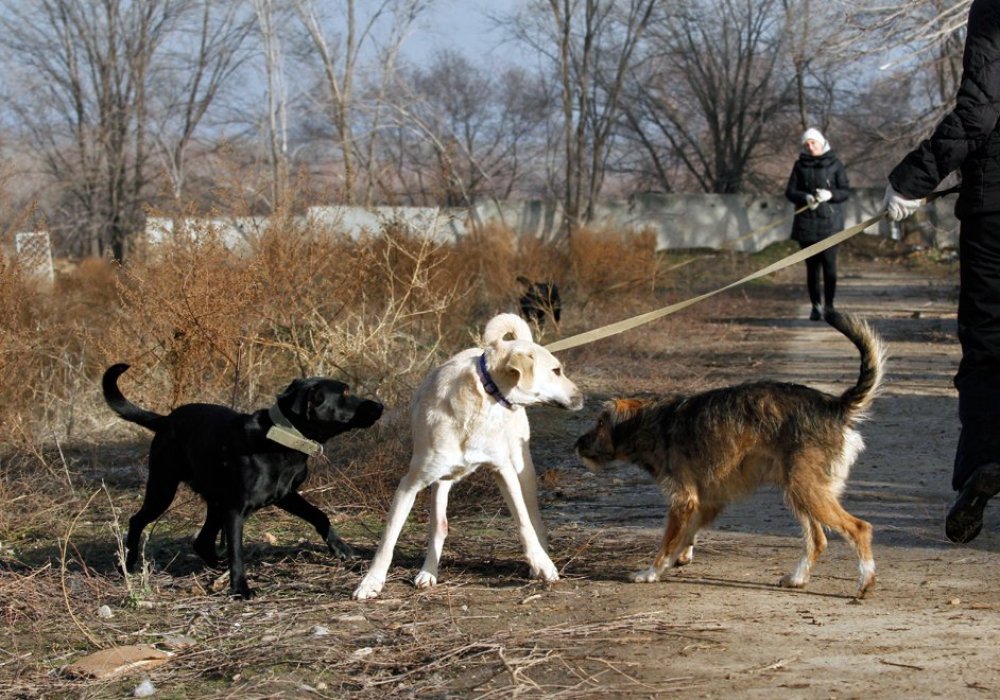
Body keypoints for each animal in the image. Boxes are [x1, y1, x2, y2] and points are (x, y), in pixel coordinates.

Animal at [102, 364, 382, 600]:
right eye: (344, 393)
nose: (379, 406)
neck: (280, 438)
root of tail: (165, 419)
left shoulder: (285, 495)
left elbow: (319, 515)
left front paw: (340, 547)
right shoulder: (236, 509)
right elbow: (237, 551)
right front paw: (240, 588)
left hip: (214, 502)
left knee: (202, 541)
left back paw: (215, 567)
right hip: (163, 488)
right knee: (137, 520)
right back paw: (128, 564)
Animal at [354, 314, 584, 600]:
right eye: (556, 371)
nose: (581, 397)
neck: (480, 398)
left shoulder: (504, 470)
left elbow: (523, 523)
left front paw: (542, 564)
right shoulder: (410, 483)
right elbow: (388, 537)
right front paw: (371, 582)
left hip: (523, 470)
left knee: (533, 518)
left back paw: (539, 561)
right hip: (440, 481)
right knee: (439, 525)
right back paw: (428, 572)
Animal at [576, 312, 888, 596]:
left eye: (600, 422)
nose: (577, 444)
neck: (655, 422)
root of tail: (834, 405)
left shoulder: (683, 500)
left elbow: (667, 542)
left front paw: (651, 572)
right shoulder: (707, 501)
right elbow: (685, 535)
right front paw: (677, 559)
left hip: (807, 491)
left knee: (860, 528)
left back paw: (865, 581)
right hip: (800, 492)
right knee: (818, 539)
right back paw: (798, 578)